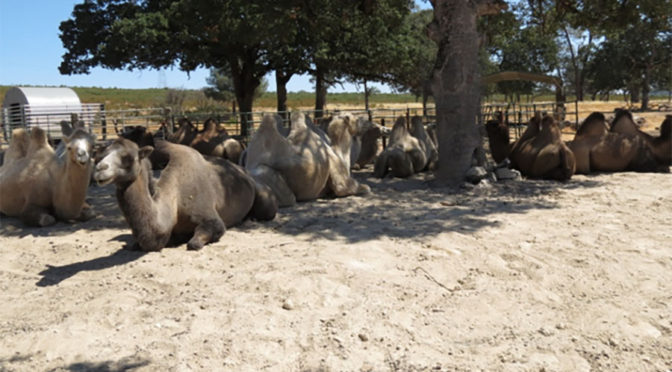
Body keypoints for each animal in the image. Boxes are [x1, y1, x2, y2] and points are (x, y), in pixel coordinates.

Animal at [92, 138, 276, 251]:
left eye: (128, 157)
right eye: (100, 156)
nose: (100, 169)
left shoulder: (210, 217)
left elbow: (195, 242)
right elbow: (135, 244)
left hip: (264, 198)